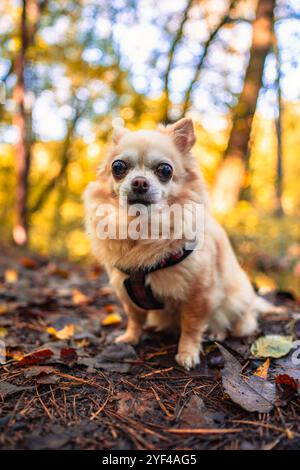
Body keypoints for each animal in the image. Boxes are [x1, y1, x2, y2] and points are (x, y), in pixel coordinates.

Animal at [84, 119, 268, 370]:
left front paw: (187, 353)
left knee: (232, 323)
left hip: (236, 301)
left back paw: (216, 333)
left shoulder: (199, 295)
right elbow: (135, 317)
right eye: (118, 167)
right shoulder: (125, 289)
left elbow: (191, 327)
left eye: (165, 170)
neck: (142, 228)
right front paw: (131, 337)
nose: (139, 182)